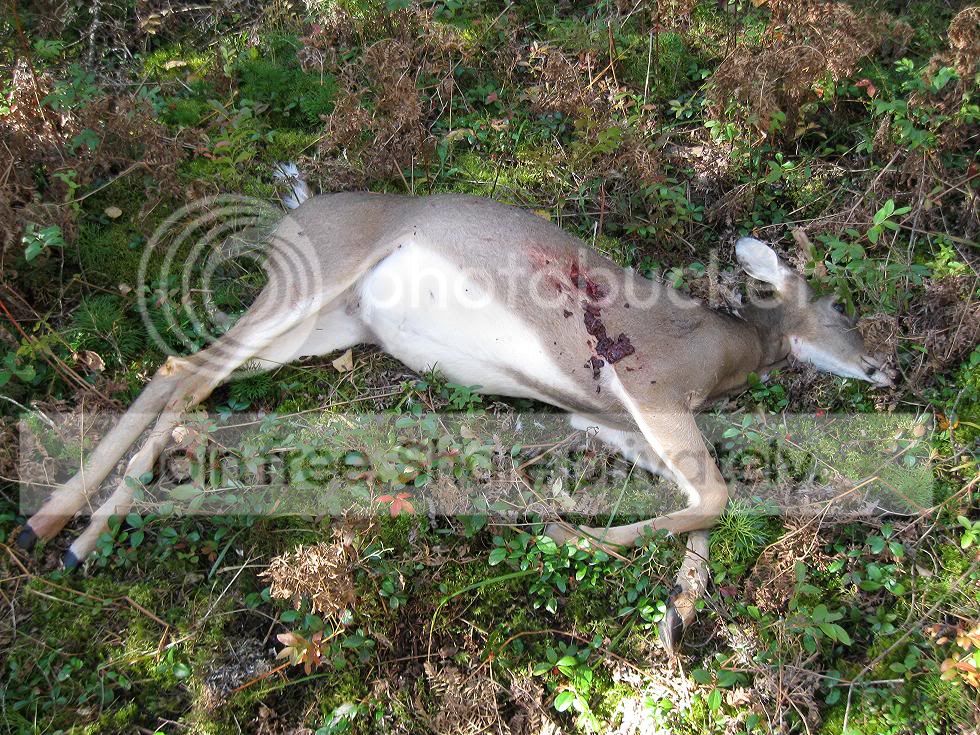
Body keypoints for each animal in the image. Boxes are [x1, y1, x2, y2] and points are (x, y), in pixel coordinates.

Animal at [16, 185, 894, 651]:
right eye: (842, 309)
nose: (886, 367)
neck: (725, 353)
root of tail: (291, 213)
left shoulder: (610, 420)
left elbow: (703, 503)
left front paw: (677, 608)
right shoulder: (647, 382)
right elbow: (717, 495)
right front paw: (571, 532)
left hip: (325, 327)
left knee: (183, 375)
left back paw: (52, 532)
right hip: (308, 284)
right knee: (184, 368)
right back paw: (61, 534)